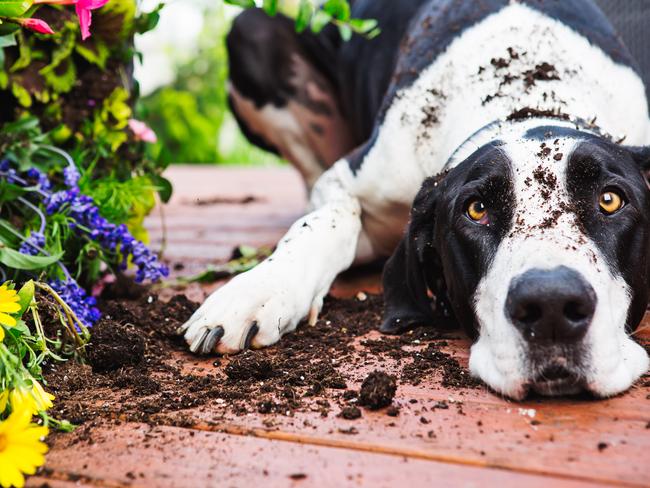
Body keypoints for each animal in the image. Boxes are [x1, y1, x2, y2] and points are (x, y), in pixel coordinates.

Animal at [177, 0, 648, 400]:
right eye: (477, 209)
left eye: (610, 200)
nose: (551, 306)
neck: (527, 95)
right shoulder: (350, 179)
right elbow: (327, 221)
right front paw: (258, 290)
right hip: (251, 32)